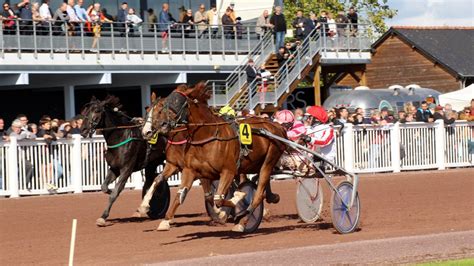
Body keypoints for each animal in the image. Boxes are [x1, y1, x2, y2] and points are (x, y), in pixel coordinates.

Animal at [81, 95, 170, 227]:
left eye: (96, 110)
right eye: (84, 111)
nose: (83, 130)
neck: (121, 137)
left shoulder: (126, 169)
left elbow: (115, 193)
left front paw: (103, 216)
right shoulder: (114, 168)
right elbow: (104, 187)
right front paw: (109, 190)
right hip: (151, 163)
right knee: (151, 180)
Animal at [140, 82, 286, 232]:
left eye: (171, 104)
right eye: (148, 110)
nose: (147, 131)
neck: (207, 137)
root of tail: (276, 126)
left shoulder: (228, 171)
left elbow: (218, 198)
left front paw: (234, 201)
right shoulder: (186, 169)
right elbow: (175, 189)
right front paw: (158, 215)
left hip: (269, 160)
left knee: (258, 195)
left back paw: (243, 222)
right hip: (253, 164)